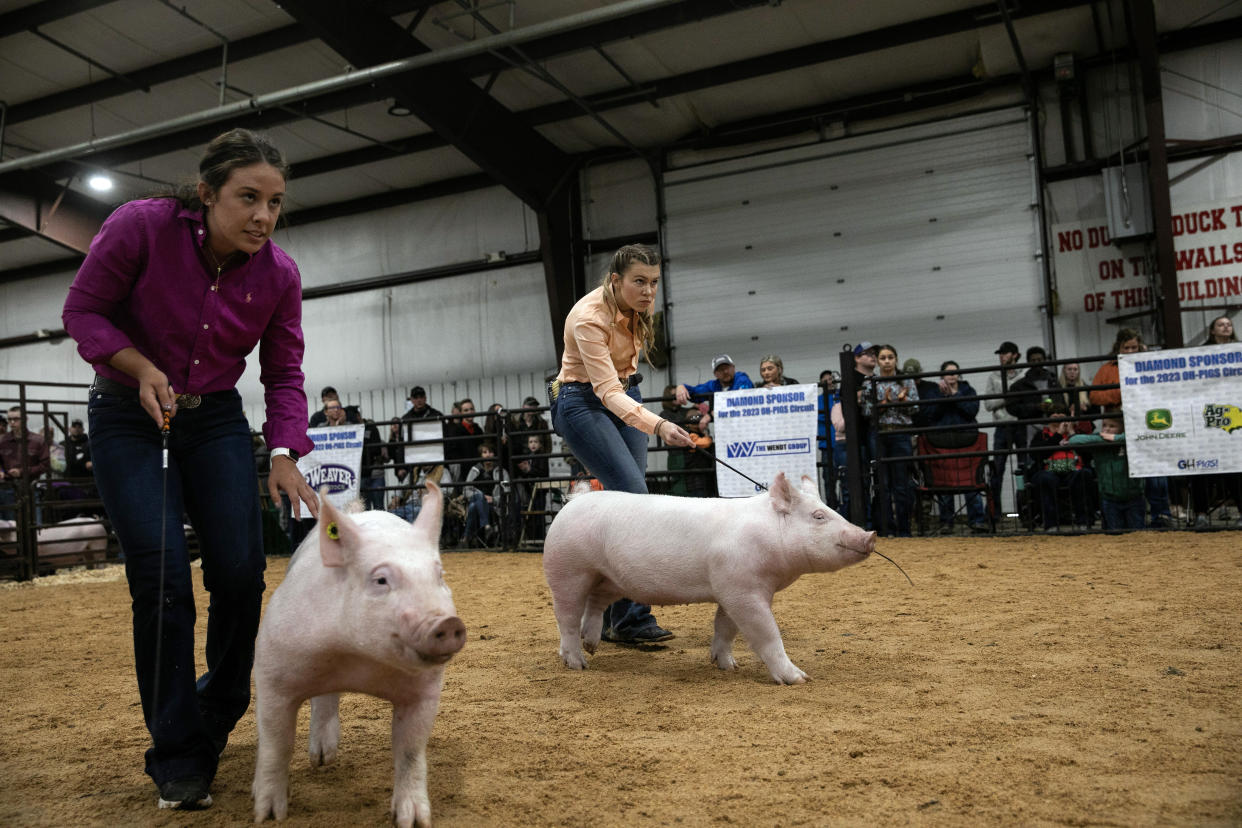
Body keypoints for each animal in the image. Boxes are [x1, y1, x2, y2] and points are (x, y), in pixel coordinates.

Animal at [252, 481, 466, 824]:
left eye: (440, 575)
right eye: (380, 579)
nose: (447, 622)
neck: (358, 661)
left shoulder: (424, 692)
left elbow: (410, 749)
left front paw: (413, 820)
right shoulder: (272, 672)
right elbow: (276, 743)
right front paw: (269, 816)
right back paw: (321, 759)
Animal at [541, 476, 874, 685]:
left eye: (831, 510)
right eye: (819, 516)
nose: (870, 535)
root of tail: (575, 500)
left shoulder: (729, 589)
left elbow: (725, 628)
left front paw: (728, 666)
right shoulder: (743, 589)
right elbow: (766, 633)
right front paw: (800, 679)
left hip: (608, 579)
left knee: (594, 604)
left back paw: (592, 645)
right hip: (567, 570)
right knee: (566, 617)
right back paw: (578, 663)